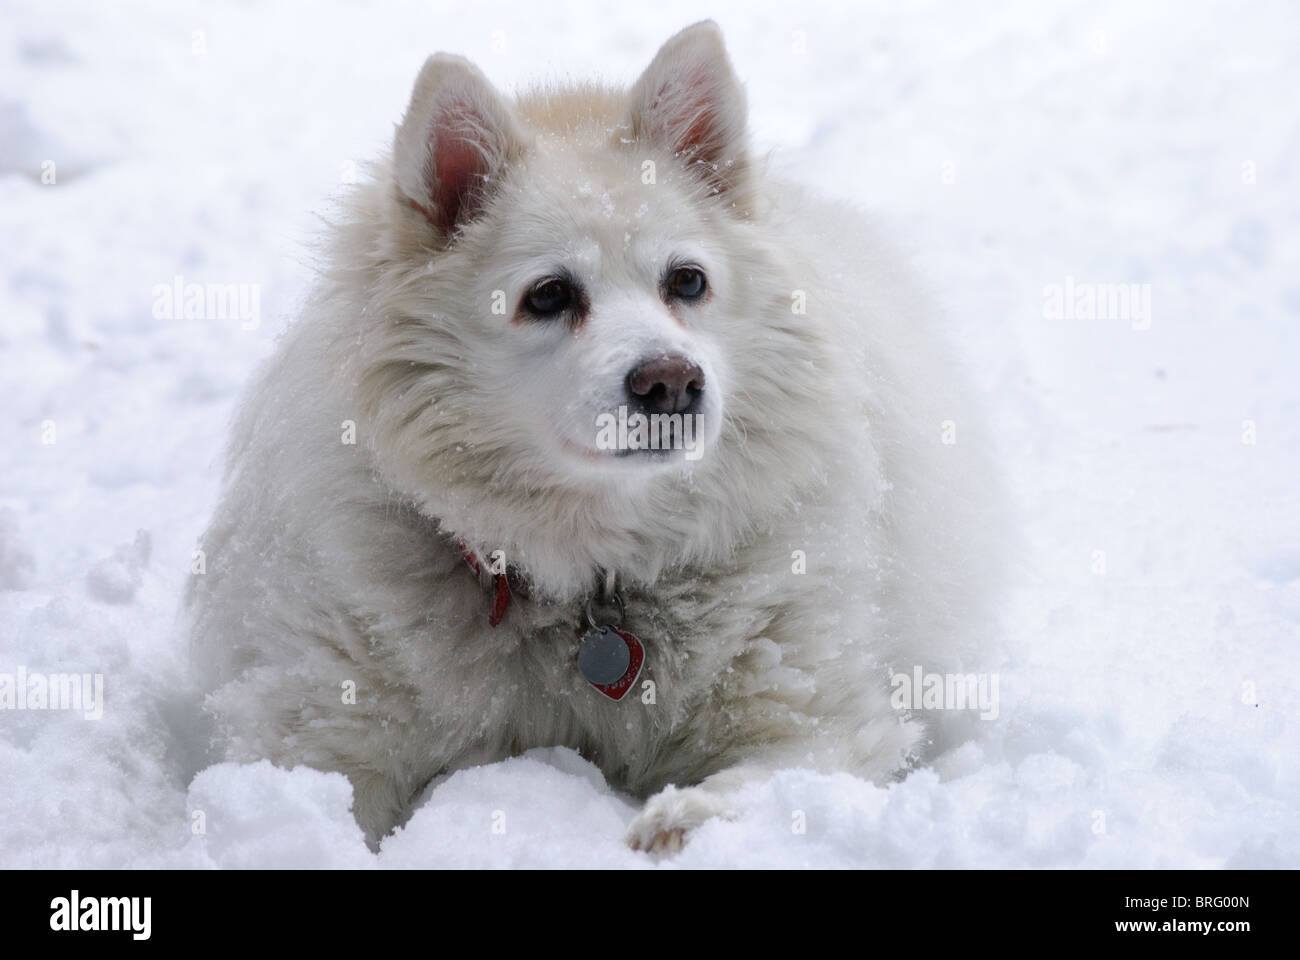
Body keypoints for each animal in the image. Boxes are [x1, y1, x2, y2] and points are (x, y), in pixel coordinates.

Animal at [183, 20, 998, 853]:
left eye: (687, 281)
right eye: (548, 295)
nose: (672, 382)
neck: (590, 585)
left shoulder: (821, 720)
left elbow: (763, 783)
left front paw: (676, 821)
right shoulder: (321, 728)